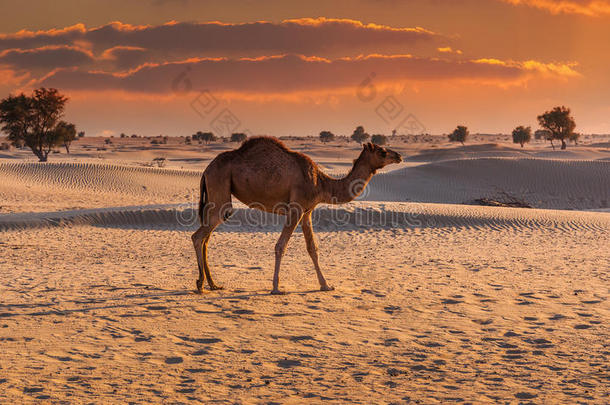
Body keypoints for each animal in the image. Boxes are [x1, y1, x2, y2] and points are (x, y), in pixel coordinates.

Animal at [190, 137, 400, 294]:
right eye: (382, 151)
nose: (398, 155)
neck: (321, 183)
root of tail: (206, 170)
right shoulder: (296, 208)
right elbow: (280, 246)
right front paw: (276, 288)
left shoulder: (307, 211)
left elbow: (312, 248)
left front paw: (325, 285)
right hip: (220, 188)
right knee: (198, 236)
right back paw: (200, 284)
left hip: (216, 194)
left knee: (206, 238)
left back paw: (213, 284)